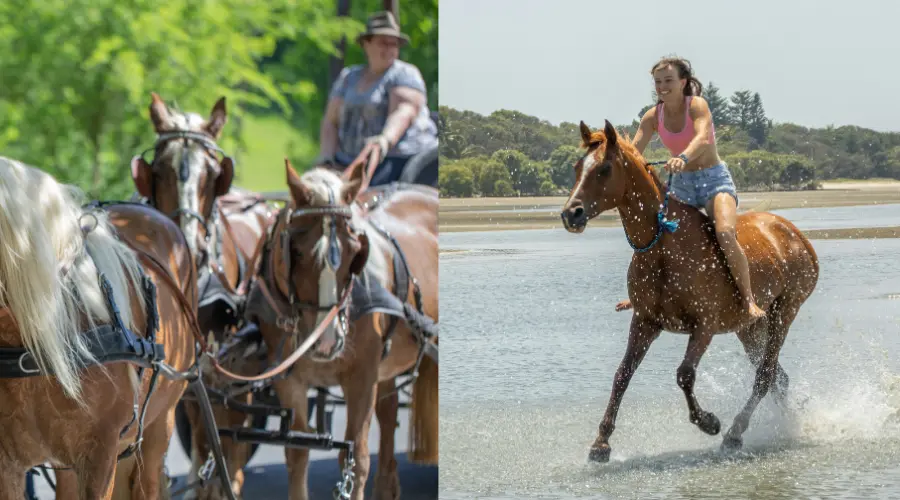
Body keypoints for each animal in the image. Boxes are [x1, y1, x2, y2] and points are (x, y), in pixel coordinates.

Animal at [130, 92, 278, 498]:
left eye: (214, 175)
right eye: (158, 171)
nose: (189, 247)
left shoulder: (223, 374)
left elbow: (223, 443)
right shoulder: (186, 381)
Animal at [201, 158, 439, 500]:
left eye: (355, 252)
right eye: (296, 251)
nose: (327, 342)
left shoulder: (363, 377)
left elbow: (356, 457)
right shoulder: (290, 380)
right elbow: (297, 451)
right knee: (389, 409)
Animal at [559, 120, 819, 462]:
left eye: (603, 168)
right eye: (578, 167)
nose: (570, 214)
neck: (663, 247)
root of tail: (796, 235)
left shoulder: (704, 325)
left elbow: (684, 374)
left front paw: (708, 422)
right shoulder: (644, 322)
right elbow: (622, 374)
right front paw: (601, 442)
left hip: (784, 313)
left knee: (765, 376)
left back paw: (734, 433)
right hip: (748, 328)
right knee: (778, 377)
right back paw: (783, 425)